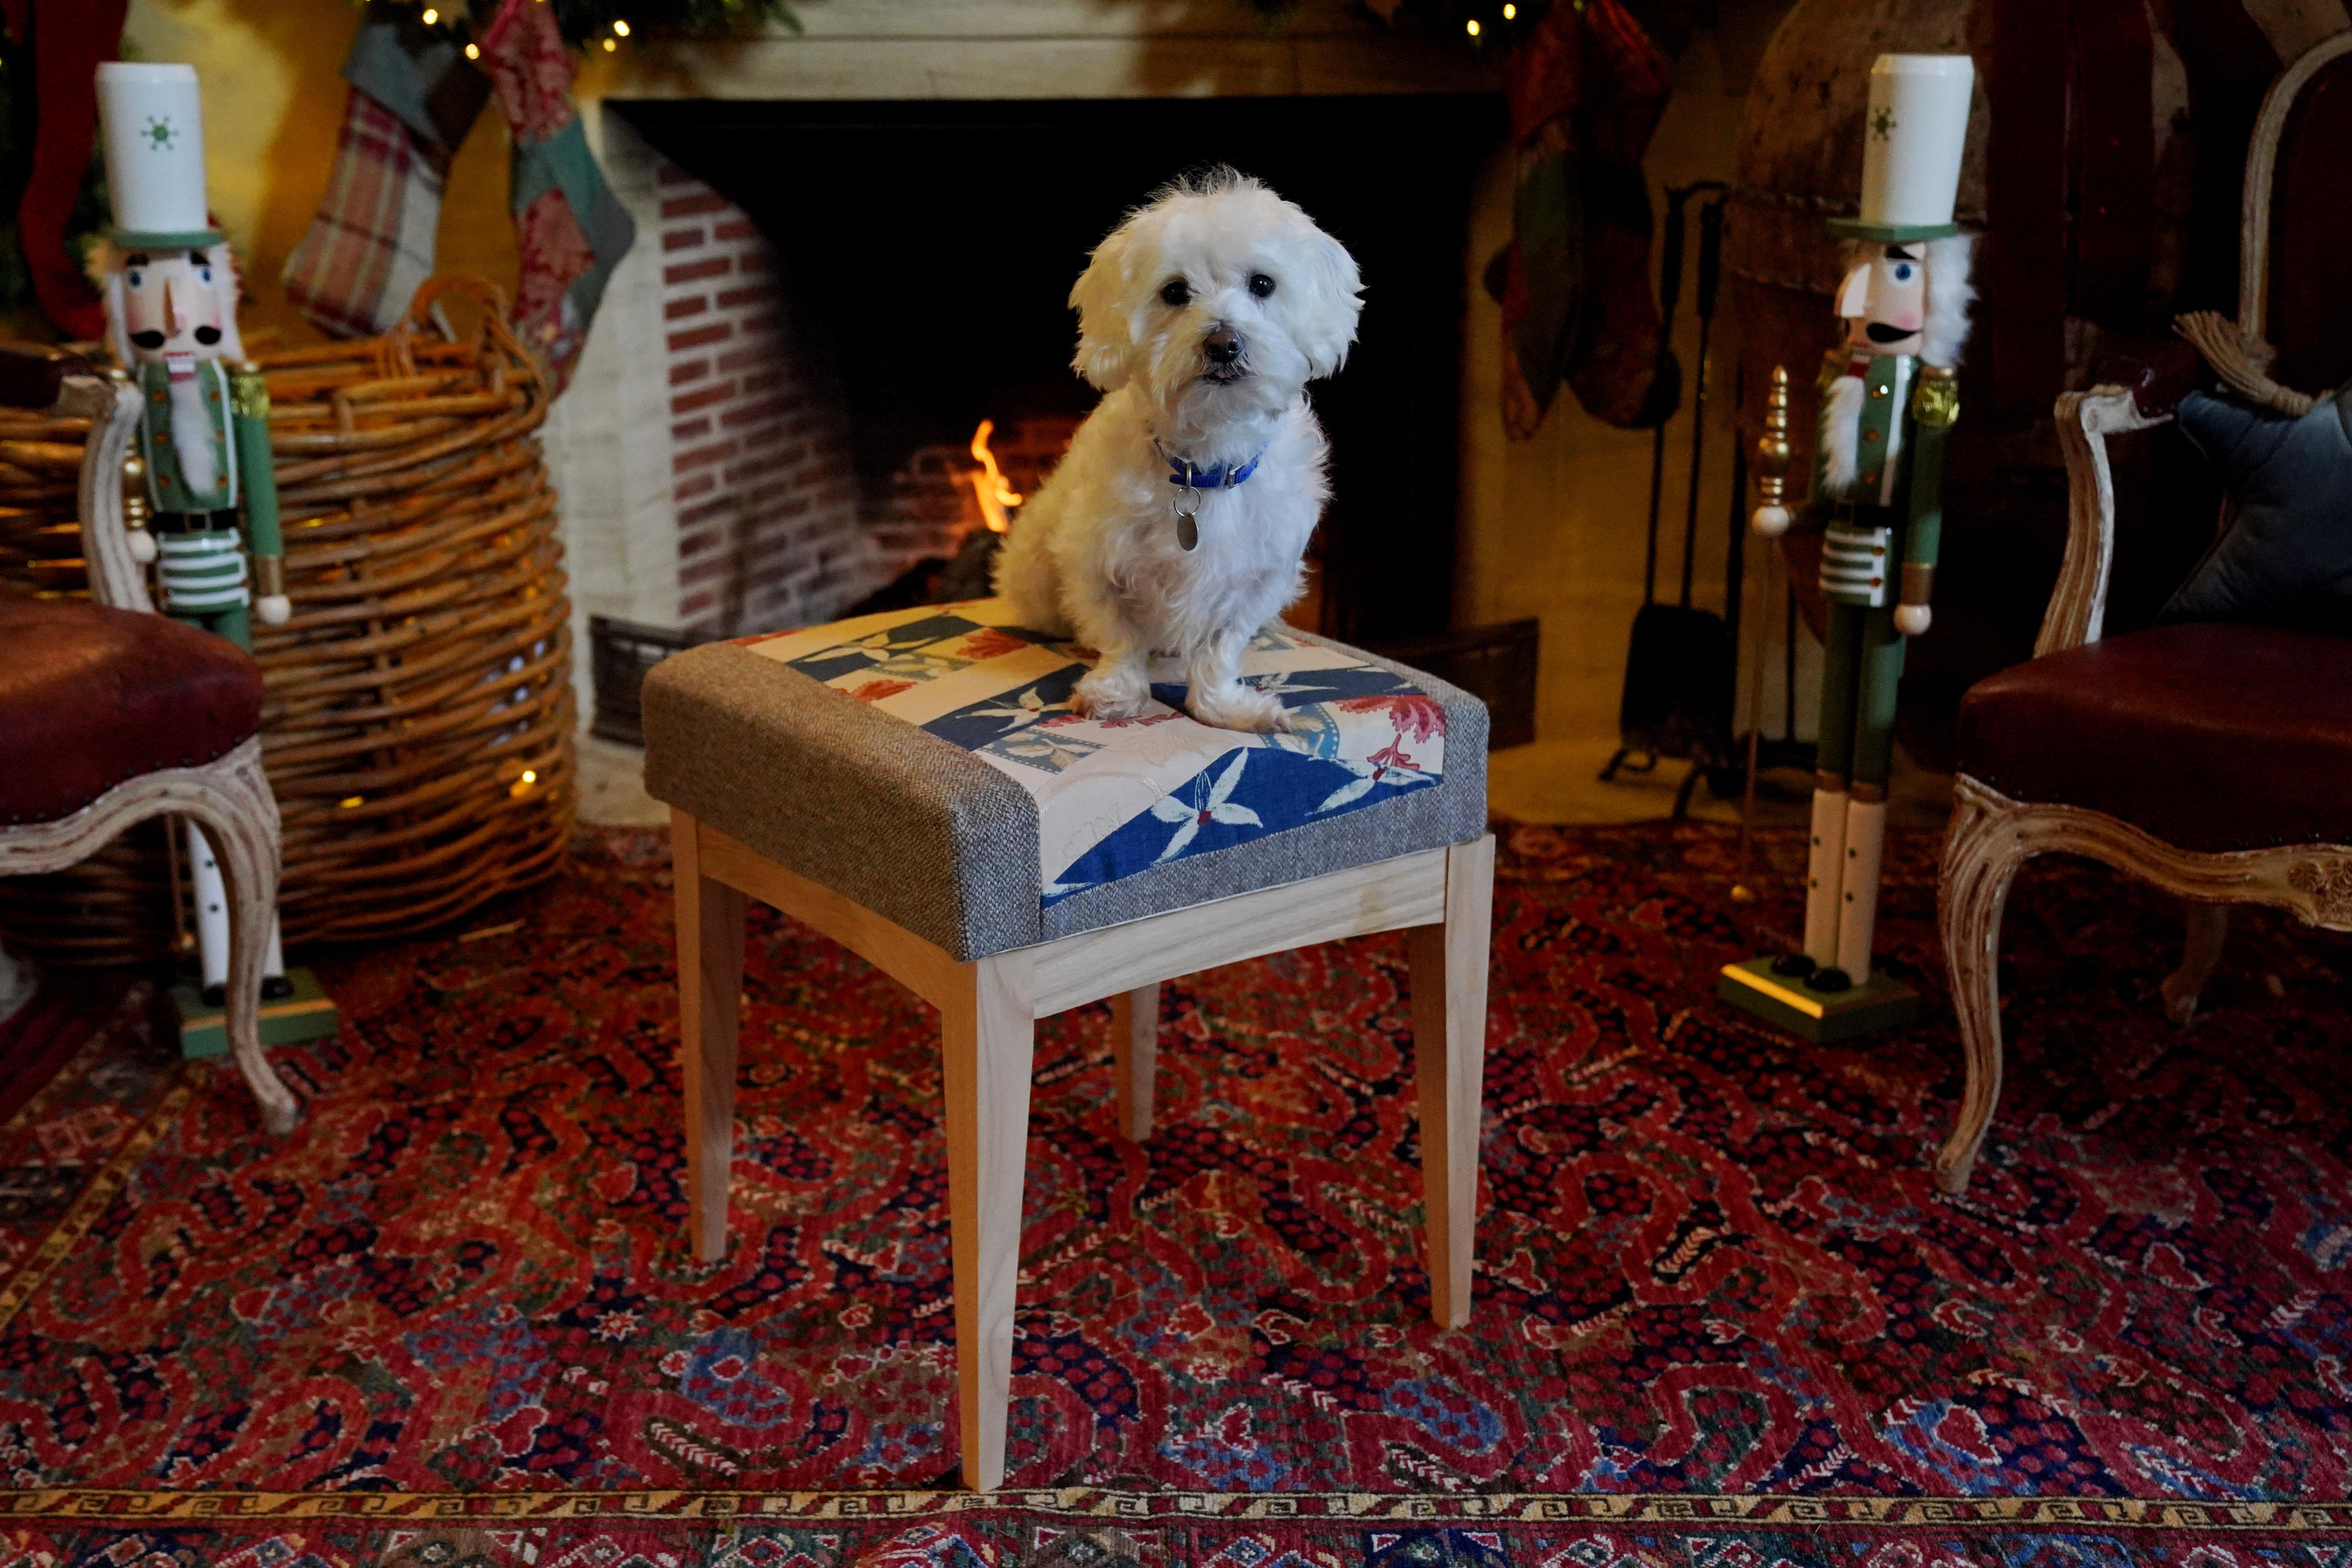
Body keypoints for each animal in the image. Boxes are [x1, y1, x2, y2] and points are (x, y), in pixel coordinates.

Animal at [988, 169, 1364, 733]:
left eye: (1263, 284)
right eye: (1175, 292)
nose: (1224, 344)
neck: (1205, 460)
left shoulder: (1258, 578)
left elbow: (1221, 649)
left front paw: (1224, 706)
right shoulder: (1093, 561)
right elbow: (1117, 635)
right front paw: (1116, 694)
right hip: (1032, 570)